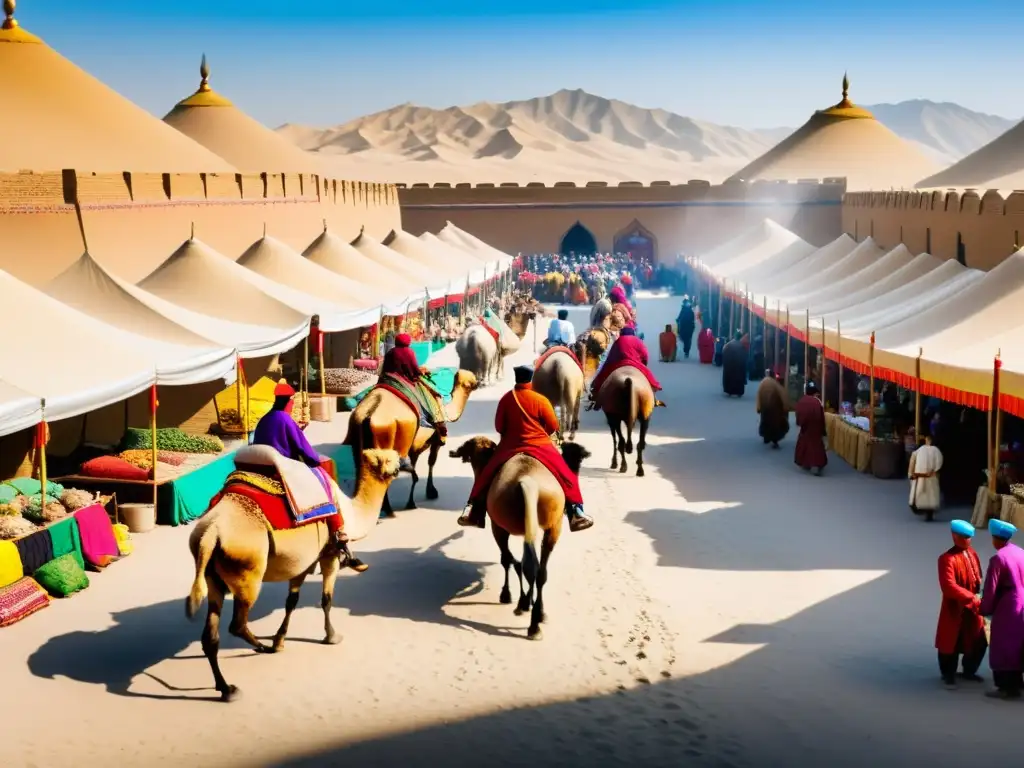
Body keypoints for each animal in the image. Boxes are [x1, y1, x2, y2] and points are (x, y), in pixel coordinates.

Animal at [185, 444, 399, 704]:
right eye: (391, 459)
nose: (405, 465)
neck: (350, 512)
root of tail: (210, 534)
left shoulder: (301, 563)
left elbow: (291, 601)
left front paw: (279, 640)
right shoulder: (328, 555)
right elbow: (326, 600)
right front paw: (331, 636)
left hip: (212, 577)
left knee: (210, 635)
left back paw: (227, 689)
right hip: (248, 572)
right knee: (237, 624)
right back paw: (260, 648)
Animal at [339, 370, 475, 518]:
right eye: (471, 383)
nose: (478, 382)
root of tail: (368, 415)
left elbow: (417, 470)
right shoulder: (431, 442)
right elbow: (427, 464)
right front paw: (425, 495)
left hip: (357, 440)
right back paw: (388, 510)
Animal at [450, 436, 593, 638]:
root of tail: (527, 481)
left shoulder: (497, 526)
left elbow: (506, 559)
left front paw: (508, 595)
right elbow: (516, 561)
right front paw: (526, 601)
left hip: (505, 522)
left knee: (527, 564)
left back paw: (530, 618)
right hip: (553, 524)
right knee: (539, 570)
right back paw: (537, 613)